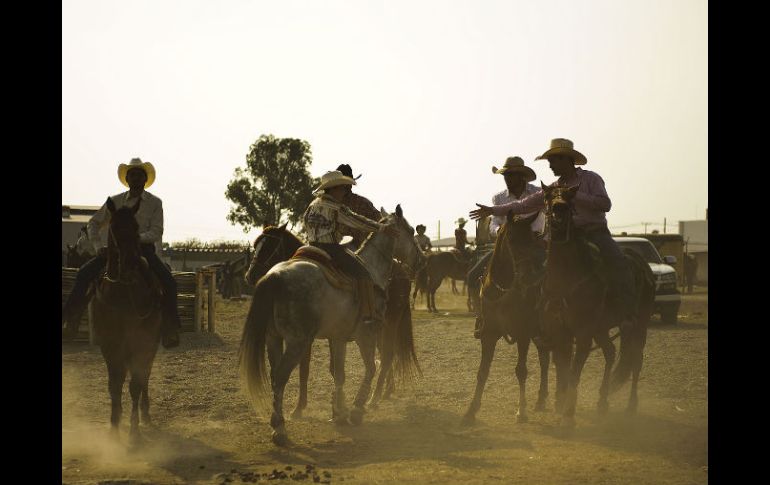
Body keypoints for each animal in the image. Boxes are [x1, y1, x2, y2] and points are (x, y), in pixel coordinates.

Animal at [90, 196, 162, 442]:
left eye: (137, 227)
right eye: (113, 227)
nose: (130, 264)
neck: (122, 293)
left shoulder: (140, 343)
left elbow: (135, 385)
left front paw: (134, 431)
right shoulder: (109, 344)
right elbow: (115, 383)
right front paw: (114, 426)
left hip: (150, 346)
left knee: (144, 376)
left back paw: (146, 414)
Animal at [238, 202, 420, 444]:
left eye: (268, 246)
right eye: (410, 231)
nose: (421, 259)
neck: (372, 271)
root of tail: (273, 277)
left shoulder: (338, 338)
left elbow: (339, 372)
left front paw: (339, 411)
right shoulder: (365, 334)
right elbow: (365, 368)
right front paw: (354, 410)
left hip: (276, 338)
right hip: (297, 341)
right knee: (280, 376)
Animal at [460, 212, 548, 424]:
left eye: (532, 239)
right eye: (512, 239)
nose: (530, 276)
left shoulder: (523, 334)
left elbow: (521, 371)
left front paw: (521, 411)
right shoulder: (489, 334)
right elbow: (482, 372)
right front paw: (471, 411)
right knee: (545, 357)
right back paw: (541, 400)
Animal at [536, 183, 652, 426]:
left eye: (570, 197)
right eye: (548, 196)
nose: (559, 209)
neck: (566, 278)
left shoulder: (583, 333)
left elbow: (574, 371)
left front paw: (568, 414)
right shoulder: (559, 332)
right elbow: (563, 366)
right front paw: (561, 404)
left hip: (640, 325)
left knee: (635, 359)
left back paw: (631, 406)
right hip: (602, 328)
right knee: (611, 352)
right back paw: (602, 401)